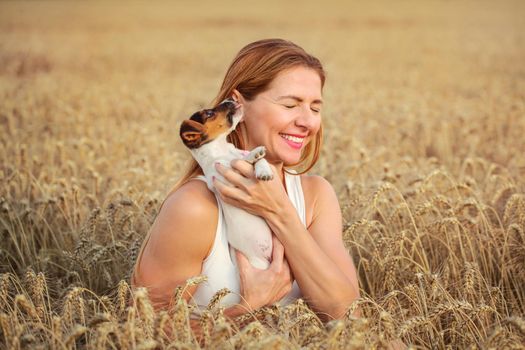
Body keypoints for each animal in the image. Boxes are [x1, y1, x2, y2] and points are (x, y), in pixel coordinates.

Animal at [178, 100, 272, 270]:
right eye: (209, 114)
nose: (230, 99)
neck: (223, 149)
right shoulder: (219, 177)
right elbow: (235, 162)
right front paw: (253, 154)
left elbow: (259, 160)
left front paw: (264, 169)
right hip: (258, 264)